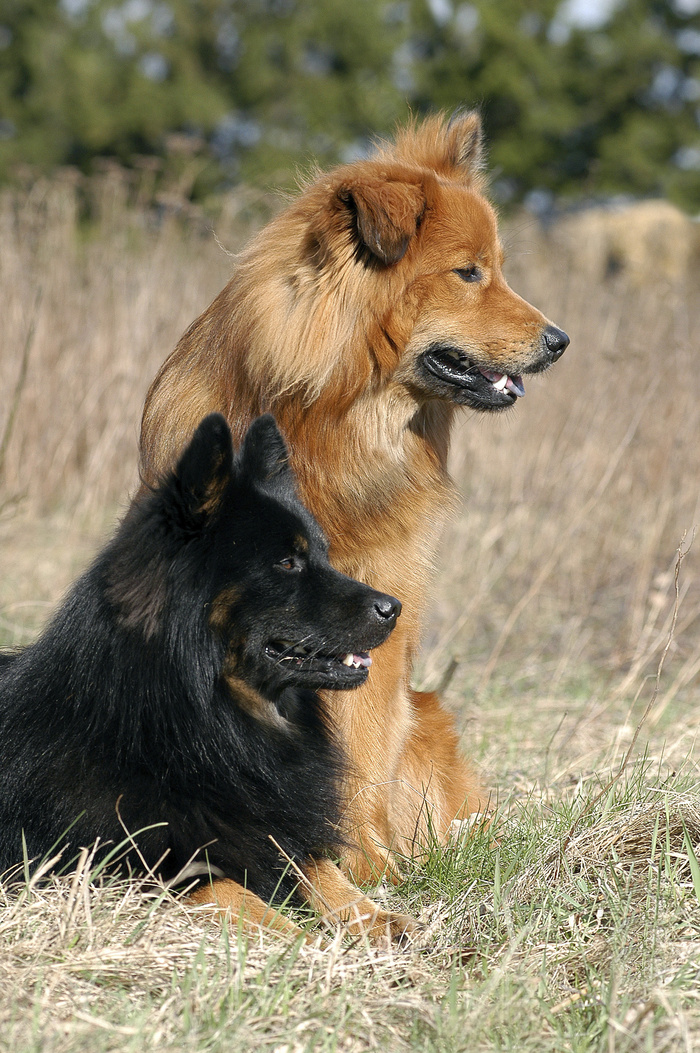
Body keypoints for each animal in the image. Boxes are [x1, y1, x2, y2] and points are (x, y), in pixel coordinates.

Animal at [0, 410, 410, 939]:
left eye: (320, 555)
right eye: (286, 562)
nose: (393, 608)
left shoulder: (274, 824)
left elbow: (318, 868)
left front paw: (377, 920)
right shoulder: (131, 868)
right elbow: (237, 895)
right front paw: (303, 944)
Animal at [137, 113, 568, 888]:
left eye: (497, 266)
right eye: (469, 273)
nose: (560, 341)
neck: (326, 426)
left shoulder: (381, 618)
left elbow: (359, 748)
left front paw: (360, 860)